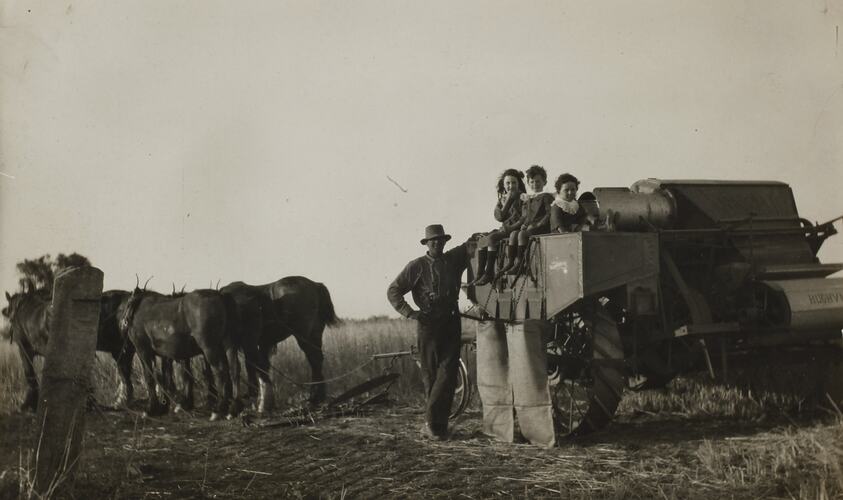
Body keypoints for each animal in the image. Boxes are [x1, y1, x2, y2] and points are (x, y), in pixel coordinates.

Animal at [2, 288, 135, 412]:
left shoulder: (24, 349)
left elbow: (29, 374)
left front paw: (29, 404)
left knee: (124, 374)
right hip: (122, 349)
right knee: (125, 374)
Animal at [223, 276, 344, 412]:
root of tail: (315, 285)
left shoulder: (236, 343)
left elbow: (239, 367)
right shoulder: (259, 344)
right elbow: (260, 367)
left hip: (303, 336)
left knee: (314, 359)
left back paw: (314, 398)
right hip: (315, 335)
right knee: (317, 361)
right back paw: (317, 397)